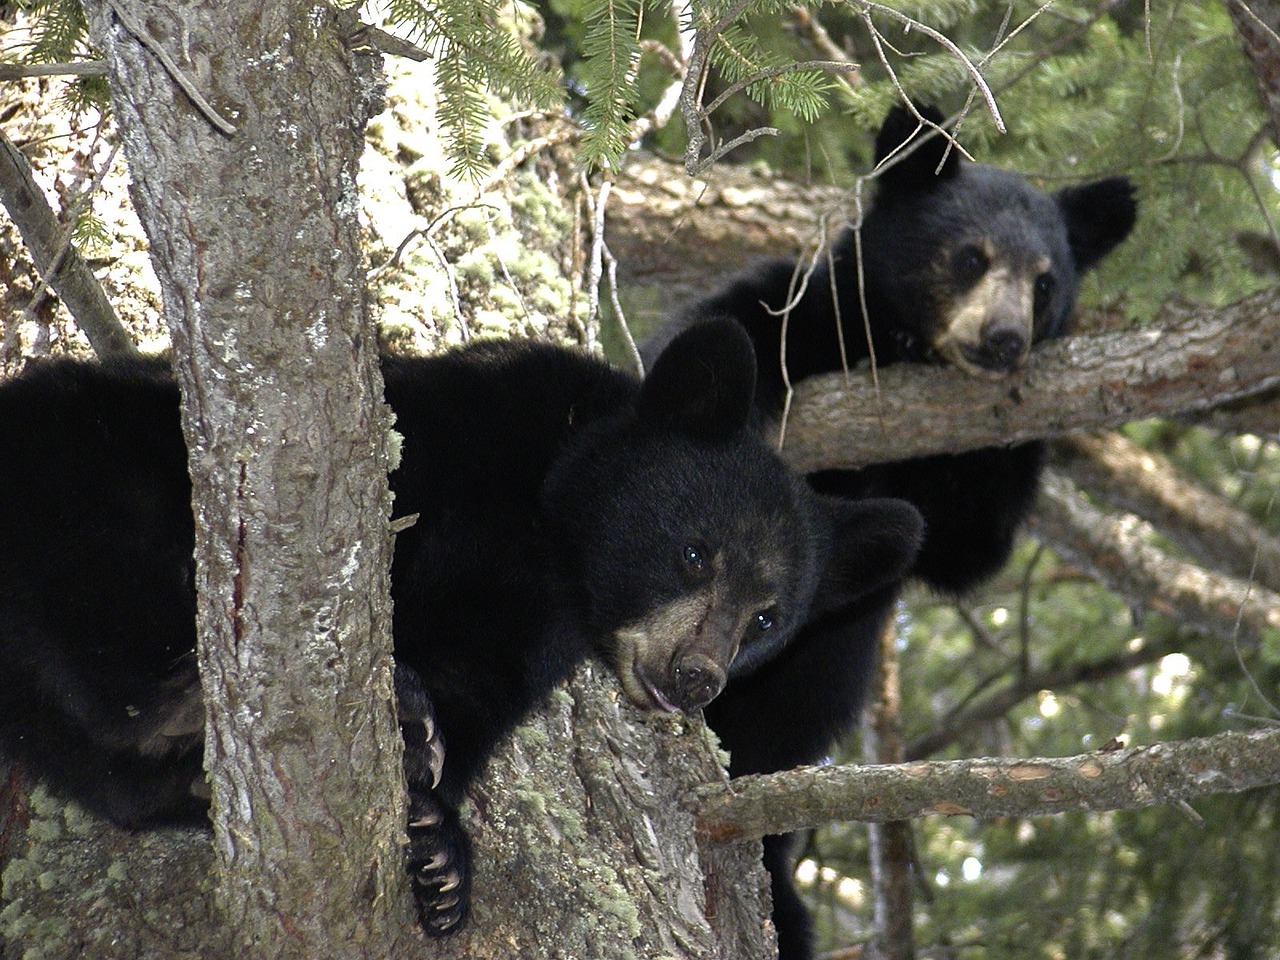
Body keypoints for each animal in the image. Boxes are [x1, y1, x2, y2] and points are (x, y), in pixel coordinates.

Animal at [0, 318, 925, 937]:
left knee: (115, 778)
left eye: (768, 617)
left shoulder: (529, 626)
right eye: (696, 553)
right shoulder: (453, 434)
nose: (697, 676)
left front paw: (439, 850)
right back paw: (183, 699)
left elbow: (473, 693)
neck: (549, 525)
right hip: (83, 455)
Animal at [644, 105, 1138, 959]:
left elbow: (968, 546)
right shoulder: (806, 308)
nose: (1004, 339)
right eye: (971, 257)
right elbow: (710, 341)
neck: (902, 345)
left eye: (1046, 283)